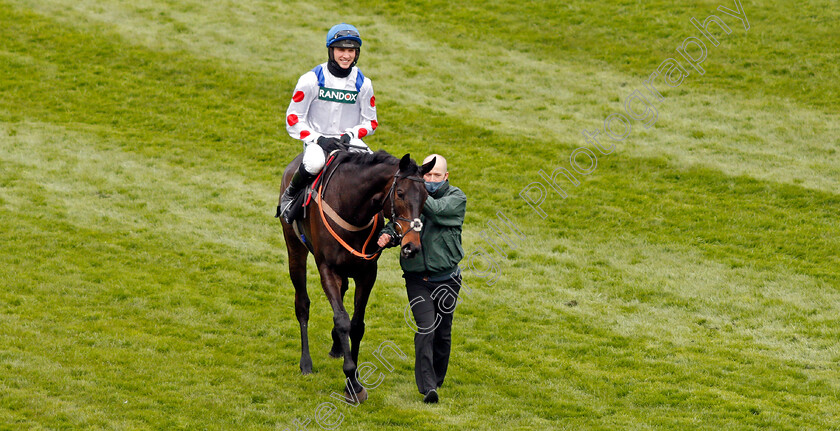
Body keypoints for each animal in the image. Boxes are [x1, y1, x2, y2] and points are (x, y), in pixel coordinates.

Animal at [278, 150, 434, 404]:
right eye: (400, 193)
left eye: (425, 196)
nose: (412, 247)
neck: (352, 209)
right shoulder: (327, 268)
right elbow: (341, 320)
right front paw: (351, 379)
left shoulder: (367, 272)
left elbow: (356, 324)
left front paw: (353, 377)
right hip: (295, 247)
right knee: (302, 303)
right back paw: (306, 362)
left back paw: (337, 348)